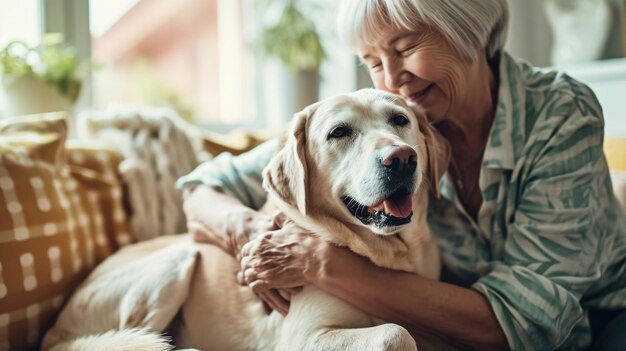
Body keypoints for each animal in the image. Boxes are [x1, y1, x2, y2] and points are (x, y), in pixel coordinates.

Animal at [42, 89, 448, 350]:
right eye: (339, 132)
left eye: (400, 120)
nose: (401, 158)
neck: (391, 254)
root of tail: (54, 334)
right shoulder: (305, 337)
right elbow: (397, 332)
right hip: (176, 262)